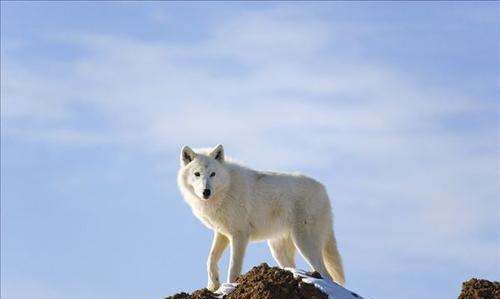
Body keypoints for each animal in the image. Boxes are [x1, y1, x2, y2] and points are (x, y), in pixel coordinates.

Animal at [178, 145, 346, 290]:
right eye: (197, 174)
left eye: (213, 174)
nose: (206, 191)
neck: (226, 189)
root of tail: (324, 190)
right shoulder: (222, 233)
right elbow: (210, 260)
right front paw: (213, 285)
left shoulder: (240, 235)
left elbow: (233, 267)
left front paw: (229, 286)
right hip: (278, 249)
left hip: (304, 243)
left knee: (328, 276)